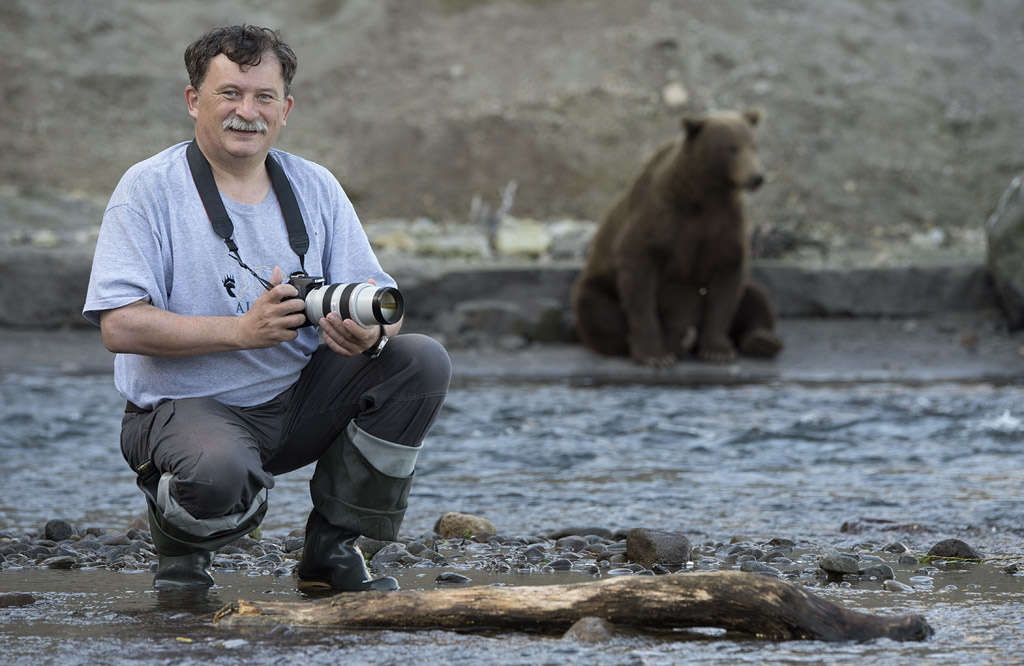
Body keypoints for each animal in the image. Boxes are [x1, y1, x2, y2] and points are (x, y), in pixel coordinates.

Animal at [573, 107, 778, 362]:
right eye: (731, 148)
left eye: (753, 145)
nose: (757, 177)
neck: (704, 194)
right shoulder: (661, 220)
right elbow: (640, 279)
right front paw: (655, 355)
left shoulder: (724, 223)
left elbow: (727, 279)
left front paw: (717, 349)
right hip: (599, 288)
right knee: (601, 314)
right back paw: (679, 340)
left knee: (756, 297)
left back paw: (761, 340)